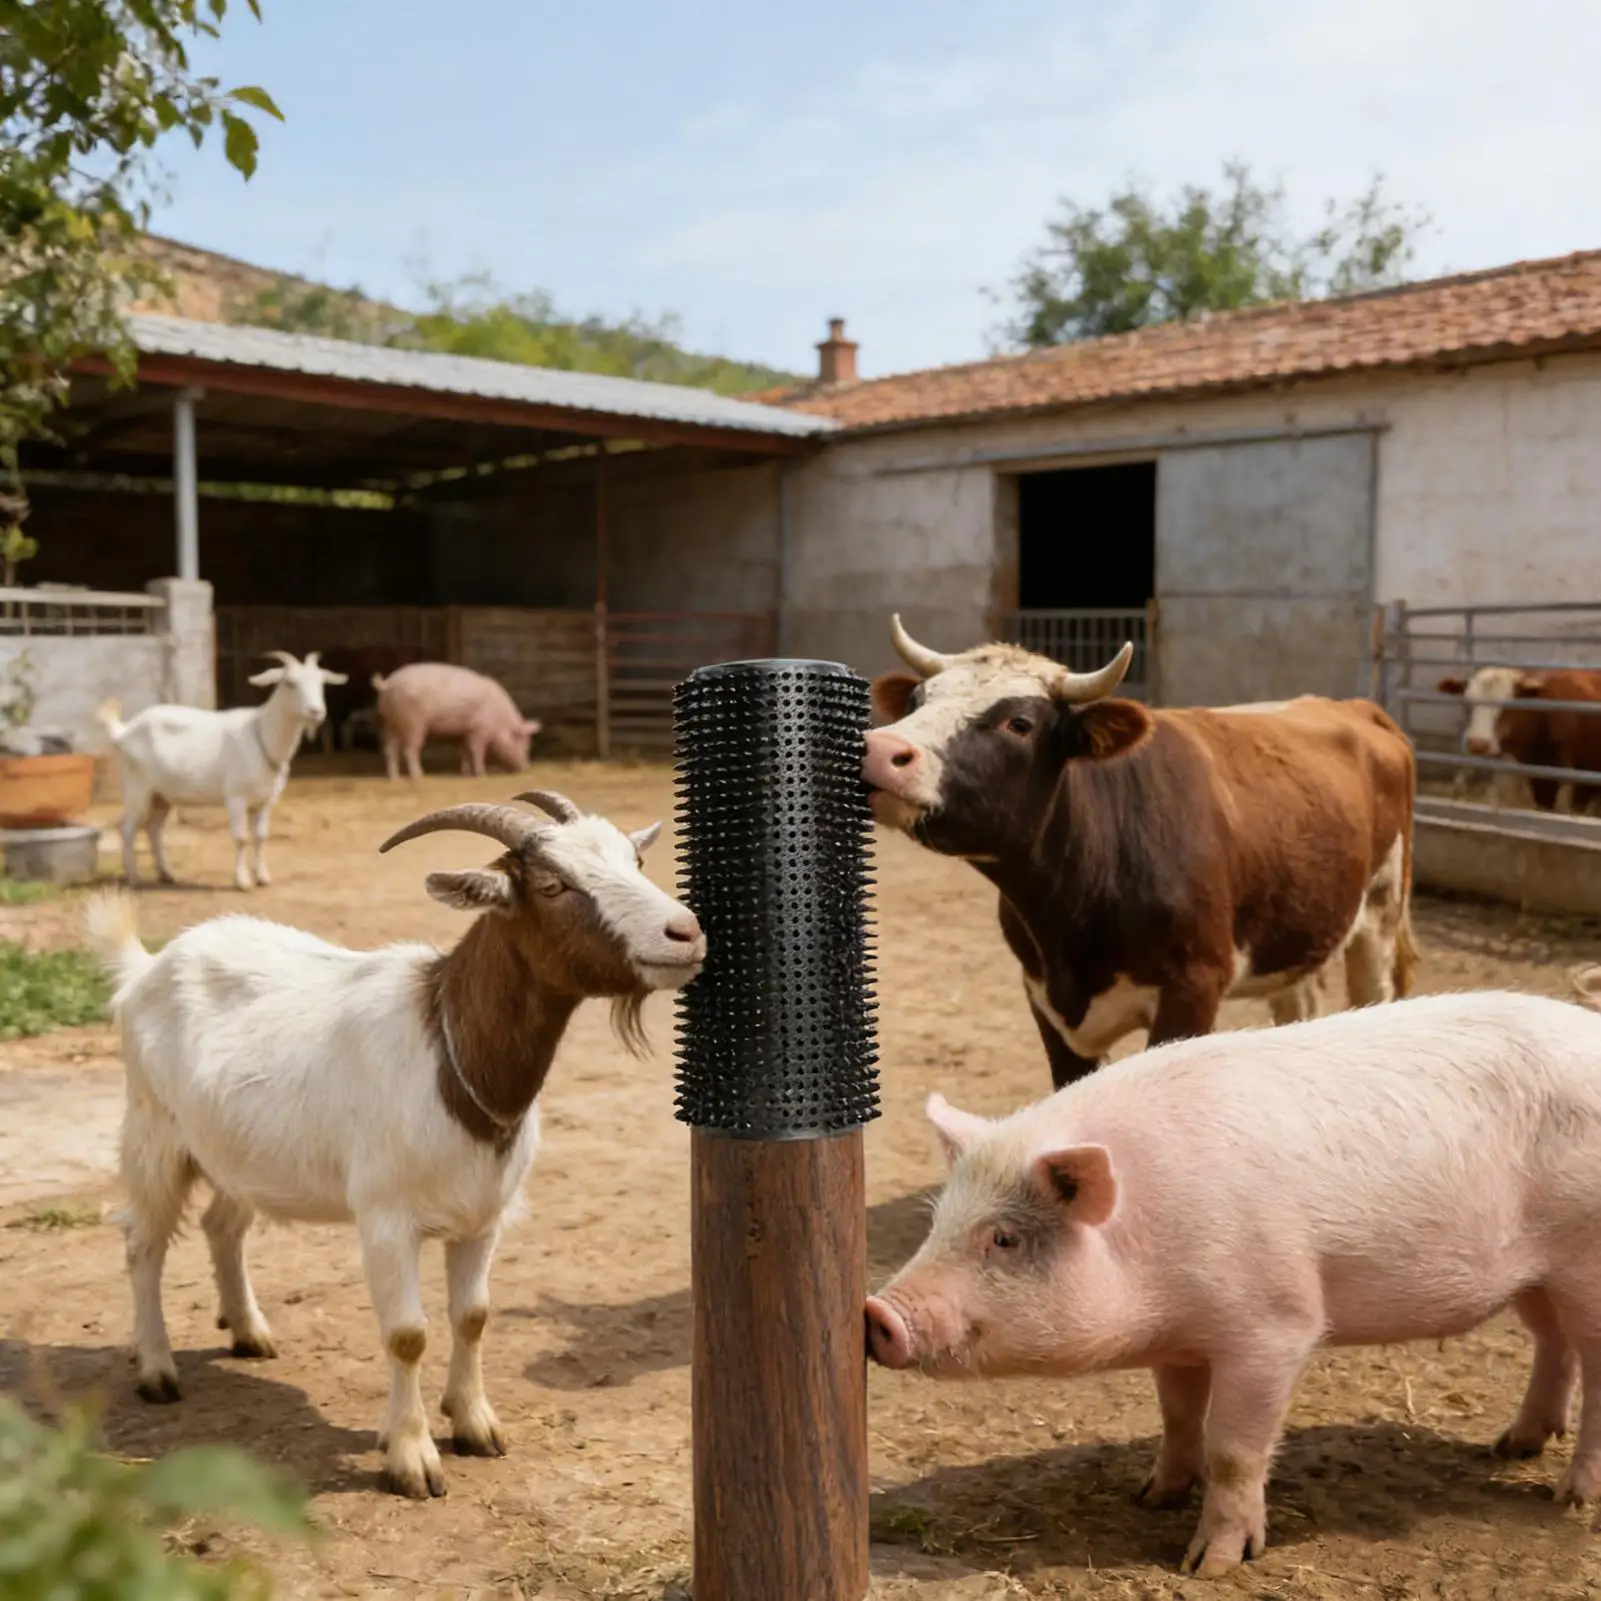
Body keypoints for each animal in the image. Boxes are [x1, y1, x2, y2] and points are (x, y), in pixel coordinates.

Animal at [862, 616, 1418, 1089]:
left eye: (1018, 723)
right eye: (916, 701)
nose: (879, 751)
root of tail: (1353, 707)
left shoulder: (1194, 988)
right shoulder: (1044, 1001)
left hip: (1381, 915)